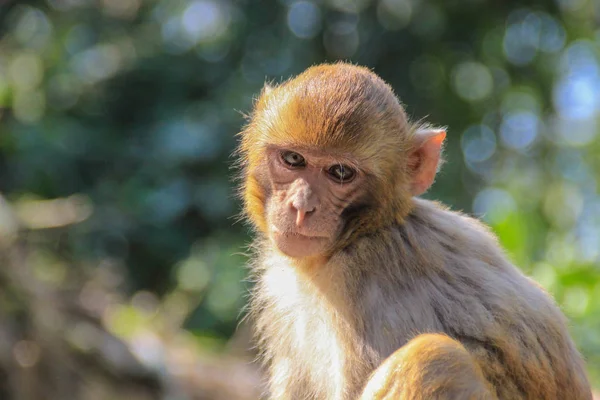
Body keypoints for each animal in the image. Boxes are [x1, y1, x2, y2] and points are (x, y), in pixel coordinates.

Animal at [234, 63, 592, 400]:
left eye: (340, 173)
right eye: (293, 159)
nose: (301, 206)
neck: (359, 235)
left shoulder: (365, 283)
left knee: (435, 358)